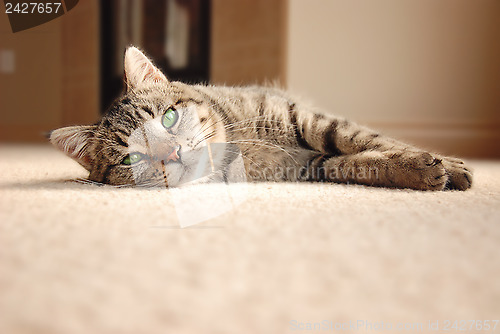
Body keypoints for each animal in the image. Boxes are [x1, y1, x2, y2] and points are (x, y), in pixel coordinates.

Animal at [49, 48, 472, 192]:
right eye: (131, 159)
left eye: (168, 118)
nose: (172, 154)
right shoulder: (309, 166)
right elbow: (358, 163)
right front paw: (419, 170)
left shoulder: (307, 119)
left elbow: (366, 140)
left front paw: (447, 164)